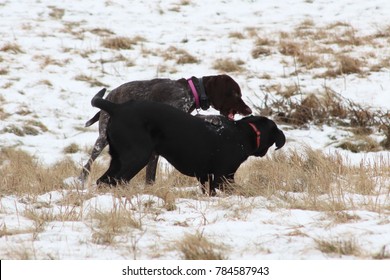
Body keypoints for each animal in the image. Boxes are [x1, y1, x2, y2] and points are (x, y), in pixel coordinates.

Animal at [92, 89, 286, 195]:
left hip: (118, 159)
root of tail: (116, 108)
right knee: (116, 180)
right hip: (137, 156)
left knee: (103, 181)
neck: (243, 133)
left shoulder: (206, 177)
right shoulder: (223, 177)